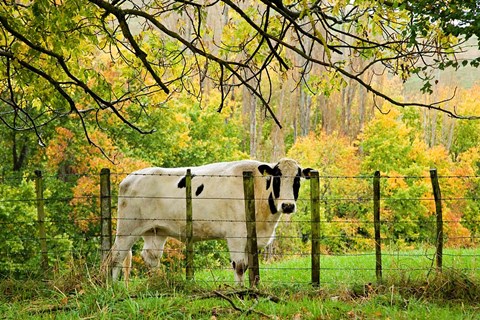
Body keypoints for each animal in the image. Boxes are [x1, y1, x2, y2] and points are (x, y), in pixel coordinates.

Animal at [107, 158, 314, 284]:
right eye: (276, 178)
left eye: (297, 180)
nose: (287, 206)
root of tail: (129, 178)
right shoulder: (236, 234)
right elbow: (240, 266)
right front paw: (240, 292)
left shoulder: (253, 238)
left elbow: (250, 266)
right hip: (128, 227)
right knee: (116, 256)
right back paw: (112, 287)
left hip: (156, 230)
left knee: (151, 257)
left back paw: (160, 283)